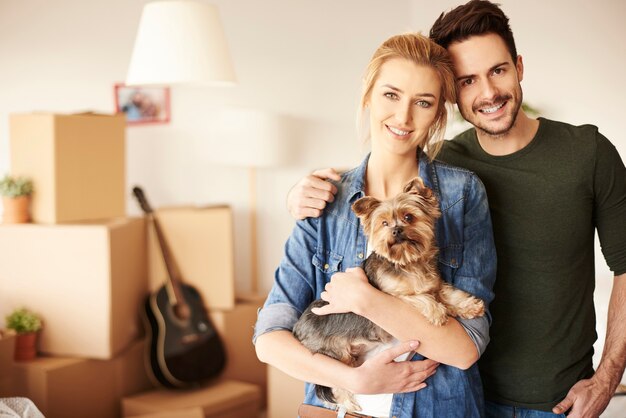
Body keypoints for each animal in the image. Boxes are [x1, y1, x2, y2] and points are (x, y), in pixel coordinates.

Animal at [292, 176, 482, 412]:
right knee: (337, 382)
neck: (408, 262)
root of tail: (298, 328)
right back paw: (349, 403)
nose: (397, 230)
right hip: (334, 354)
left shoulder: (435, 284)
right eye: (384, 223)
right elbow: (421, 298)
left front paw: (470, 306)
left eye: (408, 217)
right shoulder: (392, 297)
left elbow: (449, 294)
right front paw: (437, 312)